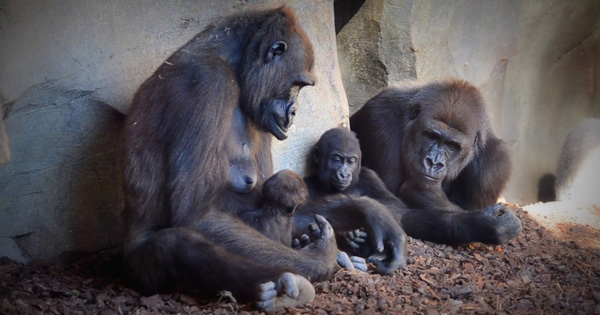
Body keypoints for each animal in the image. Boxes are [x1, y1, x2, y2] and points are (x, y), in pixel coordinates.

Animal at [122, 4, 404, 312]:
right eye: (297, 84)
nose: (294, 112)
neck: (233, 65)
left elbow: (281, 199)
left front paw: (368, 210)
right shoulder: (208, 83)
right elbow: (196, 214)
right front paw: (319, 257)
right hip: (139, 270)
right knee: (178, 245)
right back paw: (285, 287)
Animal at [350, 78, 524, 244]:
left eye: (452, 145)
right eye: (431, 135)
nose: (434, 163)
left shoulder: (496, 165)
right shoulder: (380, 120)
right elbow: (392, 209)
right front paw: (482, 224)